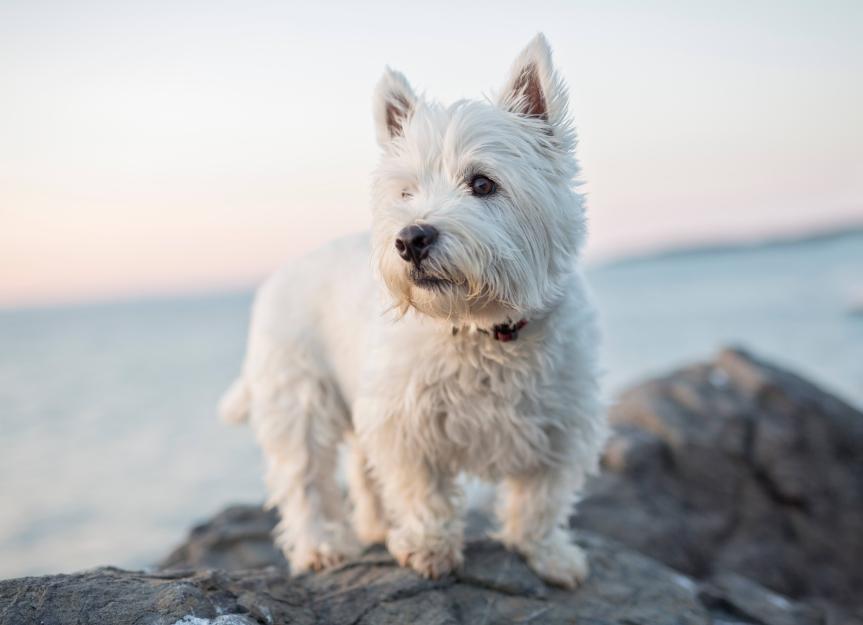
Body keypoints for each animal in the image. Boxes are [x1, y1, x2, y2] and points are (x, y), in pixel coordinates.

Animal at [223, 34, 608, 588]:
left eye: (483, 183)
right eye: (405, 191)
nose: (410, 239)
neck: (480, 328)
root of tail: (281, 273)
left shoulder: (562, 422)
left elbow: (541, 498)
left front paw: (548, 556)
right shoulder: (404, 422)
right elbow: (421, 490)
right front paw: (429, 548)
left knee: (359, 471)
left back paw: (376, 528)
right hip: (299, 397)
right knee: (305, 478)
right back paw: (322, 548)